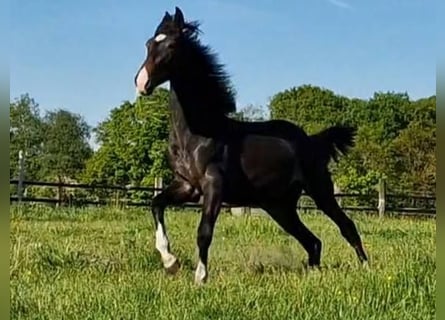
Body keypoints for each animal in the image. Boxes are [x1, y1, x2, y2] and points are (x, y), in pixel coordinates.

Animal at [133, 6, 368, 284]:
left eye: (171, 45)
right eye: (149, 44)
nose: (141, 83)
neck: (198, 134)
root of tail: (311, 140)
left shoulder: (214, 185)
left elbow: (204, 231)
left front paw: (200, 277)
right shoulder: (187, 186)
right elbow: (156, 203)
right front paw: (171, 262)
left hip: (320, 191)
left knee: (346, 226)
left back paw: (367, 269)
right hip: (280, 207)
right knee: (313, 242)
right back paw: (313, 275)